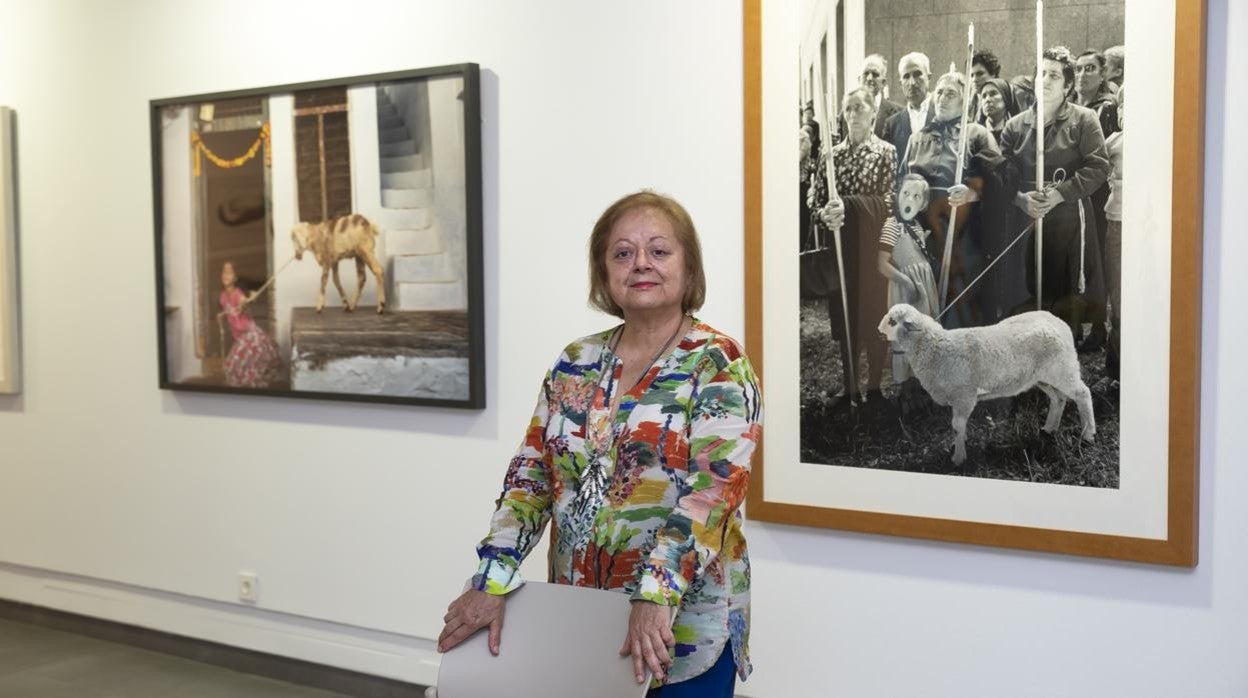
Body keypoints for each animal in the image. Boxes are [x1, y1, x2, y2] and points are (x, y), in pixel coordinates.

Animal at [878, 304, 1093, 464]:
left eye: (892, 321)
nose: (879, 331)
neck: (933, 347)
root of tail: (1061, 323)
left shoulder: (964, 395)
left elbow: (956, 425)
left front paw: (958, 458)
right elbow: (958, 426)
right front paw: (959, 444)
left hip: (1063, 369)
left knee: (1083, 393)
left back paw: (1088, 434)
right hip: (1043, 376)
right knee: (1059, 398)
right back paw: (1049, 428)